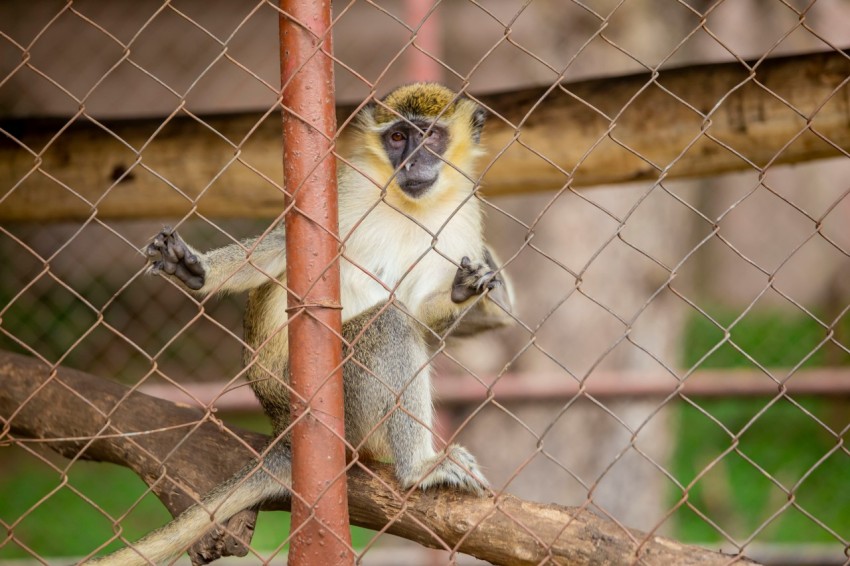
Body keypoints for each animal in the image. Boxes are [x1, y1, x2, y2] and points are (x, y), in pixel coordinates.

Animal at [86, 84, 510, 566]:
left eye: (431, 136)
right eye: (398, 137)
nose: (412, 163)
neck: (411, 205)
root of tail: (284, 433)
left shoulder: (463, 216)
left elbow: (423, 315)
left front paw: (464, 290)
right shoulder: (344, 192)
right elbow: (280, 250)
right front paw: (197, 270)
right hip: (327, 406)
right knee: (387, 323)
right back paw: (418, 468)